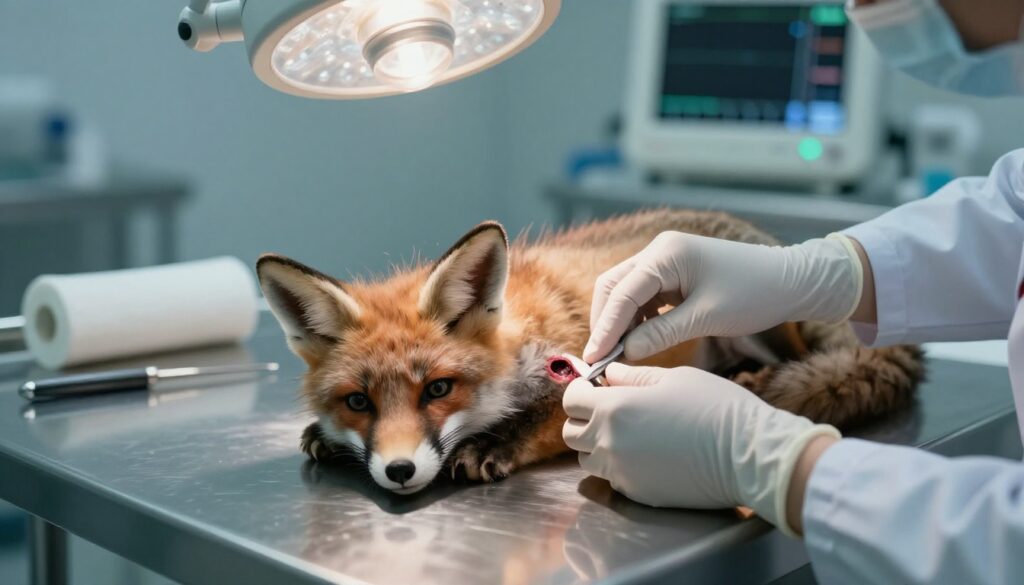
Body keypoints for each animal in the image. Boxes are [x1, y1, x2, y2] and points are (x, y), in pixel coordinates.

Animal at [257, 209, 924, 495]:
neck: (517, 336)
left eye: (438, 389)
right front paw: (326, 437)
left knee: (788, 358)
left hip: (756, 320)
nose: (398, 472)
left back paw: (751, 379)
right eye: (358, 402)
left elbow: (537, 420)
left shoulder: (577, 383)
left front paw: (491, 444)